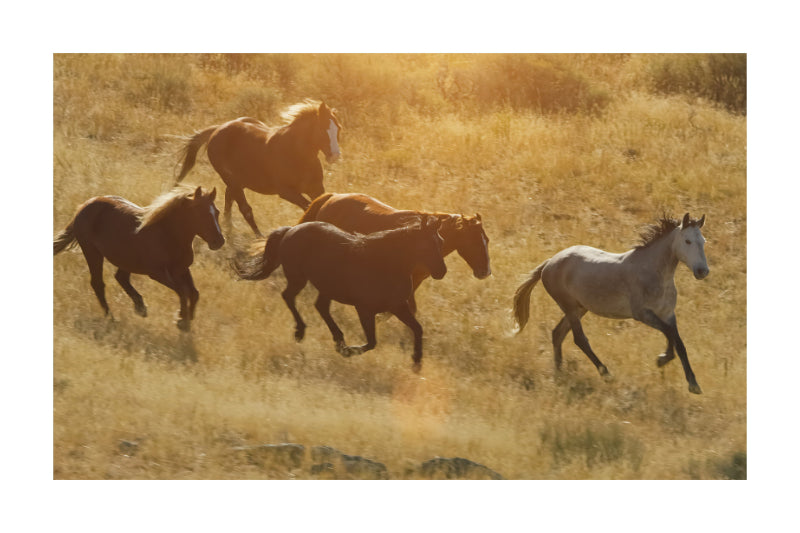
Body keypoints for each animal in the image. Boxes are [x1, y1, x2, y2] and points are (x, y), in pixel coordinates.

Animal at [53, 185, 225, 331]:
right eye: (200, 213)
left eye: (216, 212)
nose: (219, 241)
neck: (169, 235)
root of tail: (83, 207)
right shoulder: (157, 273)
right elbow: (182, 291)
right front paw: (182, 320)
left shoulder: (182, 269)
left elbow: (194, 293)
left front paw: (186, 319)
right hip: (92, 252)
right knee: (98, 283)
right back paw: (111, 318)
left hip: (125, 259)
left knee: (120, 277)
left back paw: (140, 307)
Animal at [175, 100, 341, 236]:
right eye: (323, 129)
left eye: (338, 129)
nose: (335, 155)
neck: (296, 154)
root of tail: (218, 129)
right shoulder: (286, 192)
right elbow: (308, 207)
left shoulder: (316, 188)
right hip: (231, 179)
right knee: (244, 208)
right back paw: (257, 237)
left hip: (238, 181)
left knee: (229, 199)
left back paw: (228, 229)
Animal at [234, 217, 447, 372]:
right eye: (427, 245)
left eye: (441, 242)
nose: (441, 272)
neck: (385, 264)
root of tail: (291, 230)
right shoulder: (365, 309)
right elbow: (372, 342)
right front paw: (347, 352)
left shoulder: (398, 306)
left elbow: (418, 329)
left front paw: (417, 362)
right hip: (298, 278)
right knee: (289, 297)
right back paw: (301, 332)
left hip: (325, 287)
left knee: (320, 306)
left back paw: (337, 338)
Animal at [512, 213, 709, 394]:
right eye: (687, 241)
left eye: (703, 241)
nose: (702, 271)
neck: (655, 273)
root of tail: (548, 264)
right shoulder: (642, 314)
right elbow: (669, 334)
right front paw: (662, 358)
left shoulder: (668, 314)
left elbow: (678, 342)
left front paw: (693, 383)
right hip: (570, 308)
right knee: (579, 339)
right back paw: (606, 374)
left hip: (579, 308)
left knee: (557, 334)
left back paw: (559, 372)